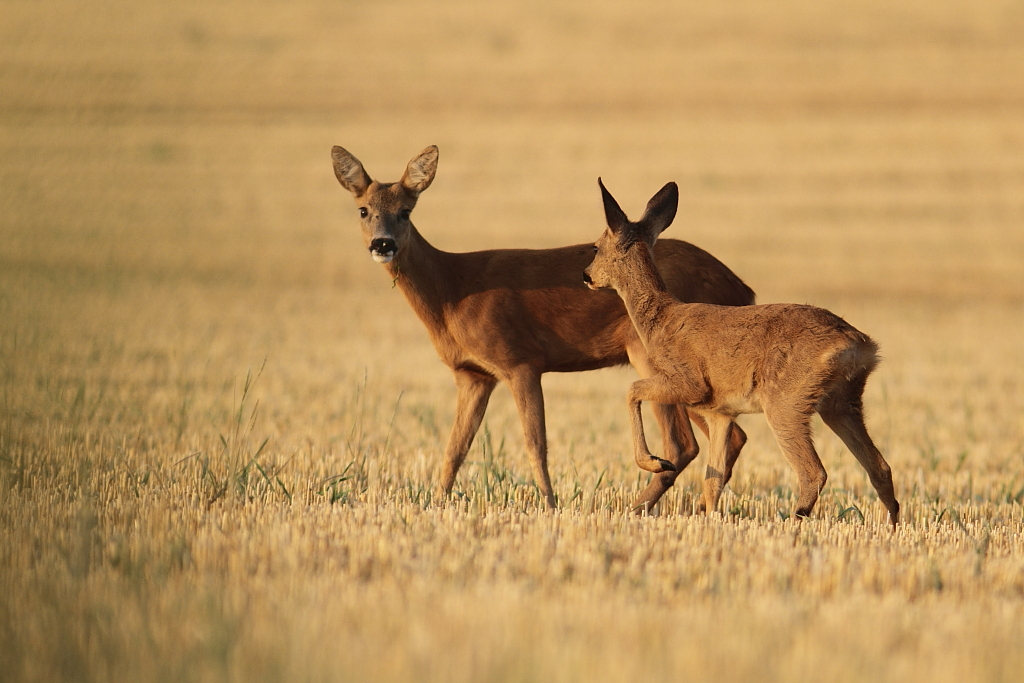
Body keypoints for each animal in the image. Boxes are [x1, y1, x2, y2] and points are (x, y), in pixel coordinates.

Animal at [331, 144, 757, 507]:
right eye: (363, 210)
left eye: (406, 211)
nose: (382, 244)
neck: (453, 294)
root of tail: (743, 287)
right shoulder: (473, 375)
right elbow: (455, 449)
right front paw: (435, 506)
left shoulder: (519, 360)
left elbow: (535, 444)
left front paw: (550, 507)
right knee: (729, 435)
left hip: (657, 358)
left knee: (683, 443)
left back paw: (638, 508)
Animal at [581, 179, 901, 528]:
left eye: (595, 247)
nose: (586, 275)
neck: (661, 321)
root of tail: (859, 346)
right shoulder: (719, 411)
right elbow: (713, 479)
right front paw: (710, 520)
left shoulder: (689, 382)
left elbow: (632, 390)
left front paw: (656, 462)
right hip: (842, 403)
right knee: (880, 467)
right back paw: (892, 526)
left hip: (787, 401)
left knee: (814, 472)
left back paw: (792, 521)